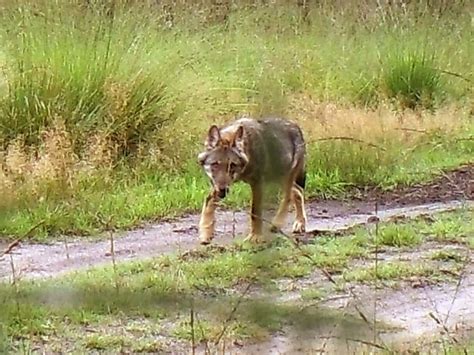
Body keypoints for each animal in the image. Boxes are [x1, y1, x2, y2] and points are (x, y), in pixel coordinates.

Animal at [196, 117, 308, 245]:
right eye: (215, 164)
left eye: (232, 165)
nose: (223, 191)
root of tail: (296, 125)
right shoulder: (217, 186)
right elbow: (208, 202)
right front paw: (205, 233)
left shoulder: (257, 183)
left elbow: (255, 212)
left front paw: (255, 237)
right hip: (277, 178)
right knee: (297, 192)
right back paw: (298, 223)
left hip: (284, 178)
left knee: (289, 196)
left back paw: (278, 224)